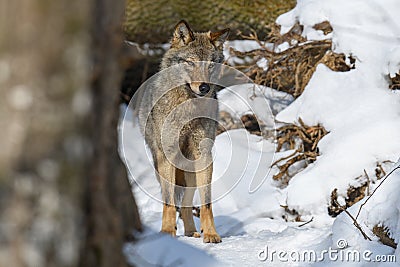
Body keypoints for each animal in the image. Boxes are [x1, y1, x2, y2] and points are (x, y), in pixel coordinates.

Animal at [138, 19, 230, 244]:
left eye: (210, 64)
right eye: (191, 62)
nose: (204, 88)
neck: (188, 108)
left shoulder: (203, 155)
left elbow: (206, 204)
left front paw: (211, 233)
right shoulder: (168, 156)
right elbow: (169, 202)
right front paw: (166, 233)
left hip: (190, 167)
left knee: (187, 204)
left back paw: (191, 232)